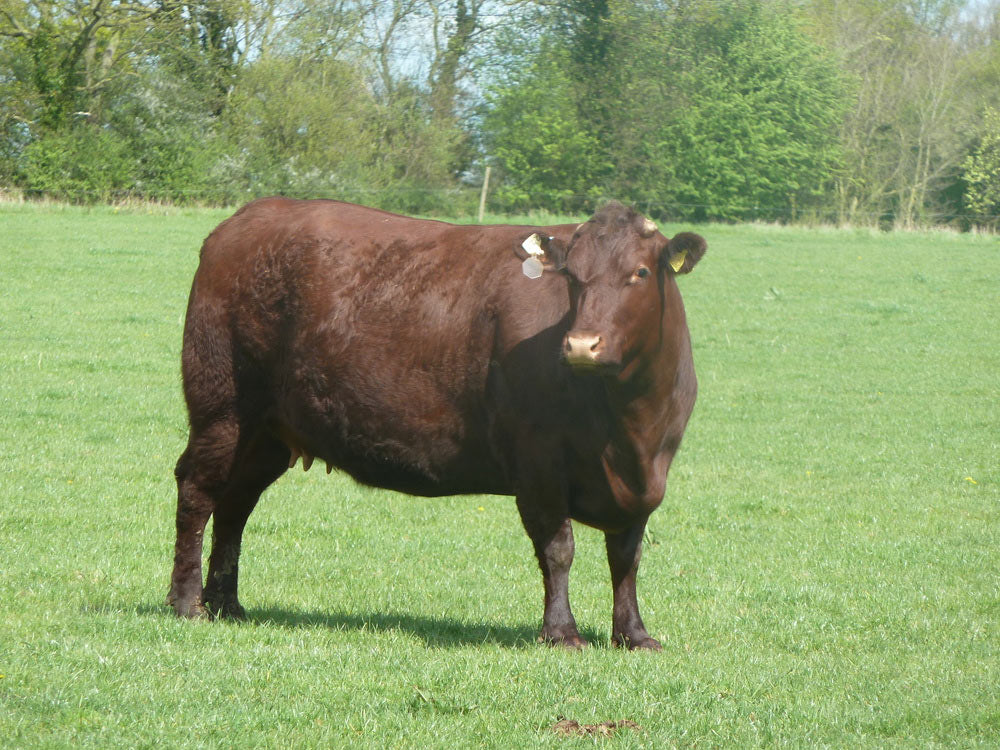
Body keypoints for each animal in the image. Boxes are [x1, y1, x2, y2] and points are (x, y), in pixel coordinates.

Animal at [167, 197, 706, 650]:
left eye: (640, 272)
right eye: (572, 277)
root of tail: (246, 218)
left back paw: (227, 604)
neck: (626, 429)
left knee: (235, 505)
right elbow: (558, 550)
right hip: (223, 408)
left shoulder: (648, 476)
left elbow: (627, 557)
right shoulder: (538, 466)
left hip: (267, 433)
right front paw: (561, 633)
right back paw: (188, 602)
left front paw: (634, 634)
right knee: (198, 490)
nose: (581, 345)